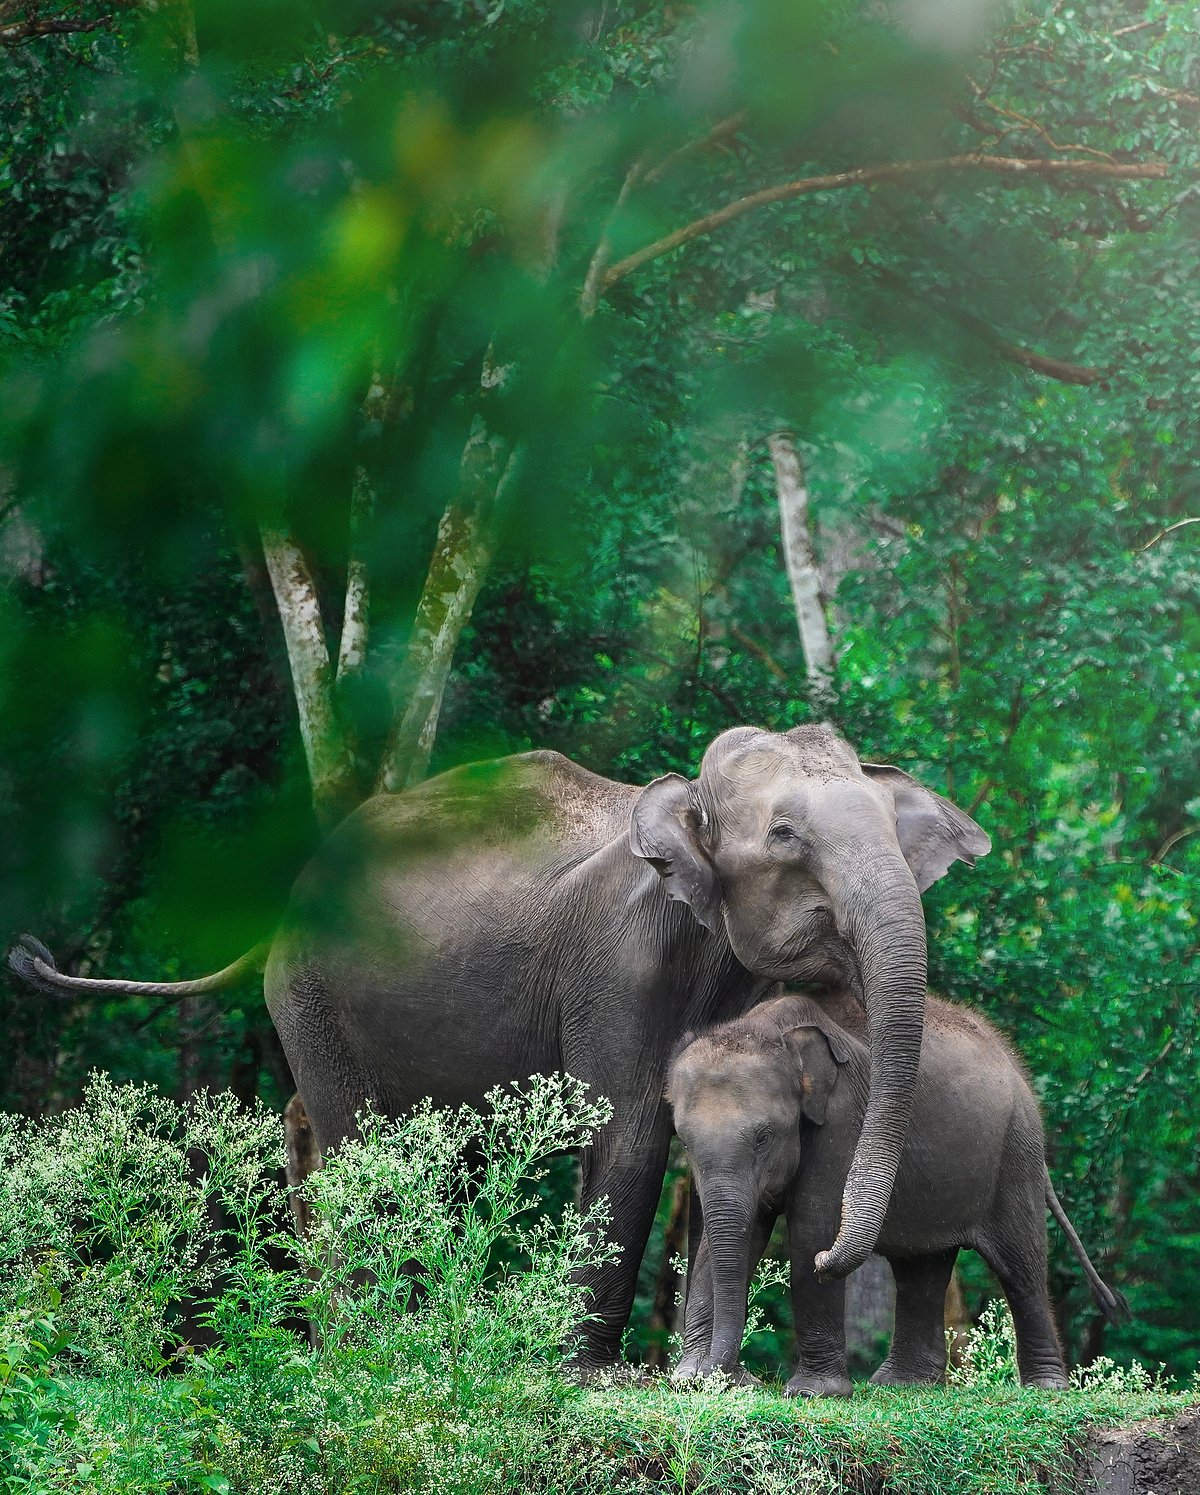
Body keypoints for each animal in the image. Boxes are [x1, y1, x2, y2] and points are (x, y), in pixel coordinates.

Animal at [9, 723, 989, 1374]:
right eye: (786, 836)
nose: (826, 1259)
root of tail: (285, 904)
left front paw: (685, 1376)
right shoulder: (620, 968)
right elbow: (631, 1133)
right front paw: (590, 1375)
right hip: (311, 992)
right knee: (364, 1143)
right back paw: (374, 1350)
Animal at [668, 987, 1129, 1394]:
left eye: (764, 1136)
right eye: (684, 1142)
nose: (731, 1377)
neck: (769, 1029)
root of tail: (1012, 1061)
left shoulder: (845, 1121)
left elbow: (811, 1226)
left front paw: (813, 1393)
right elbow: (731, 1238)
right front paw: (691, 1380)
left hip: (1016, 1152)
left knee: (1021, 1265)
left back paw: (1046, 1388)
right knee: (920, 1269)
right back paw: (904, 1384)